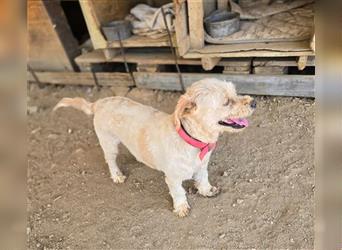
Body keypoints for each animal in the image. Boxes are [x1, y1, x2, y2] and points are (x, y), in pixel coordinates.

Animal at [54, 78, 256, 217]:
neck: (191, 140)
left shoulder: (201, 167)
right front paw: (181, 208)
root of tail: (98, 103)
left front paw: (206, 190)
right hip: (109, 143)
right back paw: (117, 175)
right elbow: (179, 193)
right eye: (226, 102)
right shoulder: (173, 178)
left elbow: (203, 180)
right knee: (110, 161)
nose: (254, 102)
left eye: (235, 92)